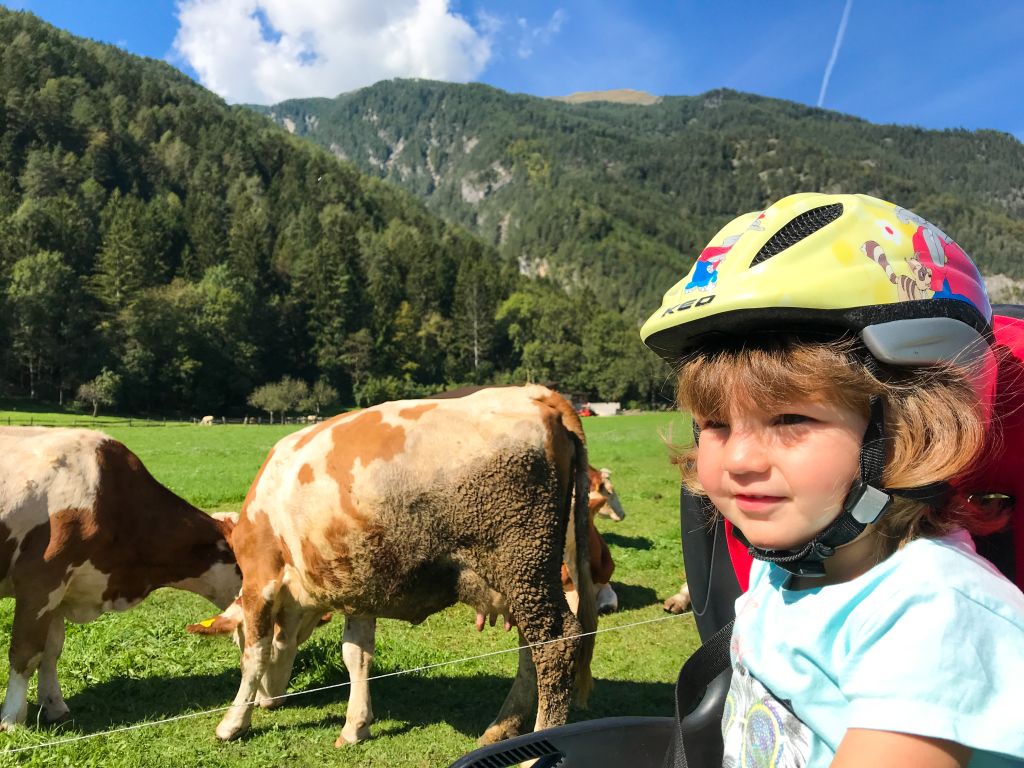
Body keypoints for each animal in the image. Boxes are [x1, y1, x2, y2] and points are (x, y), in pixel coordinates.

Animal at [0, 430, 237, 729]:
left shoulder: (60, 591)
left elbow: (50, 652)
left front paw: (54, 706)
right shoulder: (40, 581)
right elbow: (25, 652)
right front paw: (11, 718)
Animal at [211, 387, 598, 749]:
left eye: (235, 637)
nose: (269, 701)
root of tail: (533, 394)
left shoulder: (260, 579)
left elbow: (255, 656)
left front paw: (233, 722)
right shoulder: (358, 587)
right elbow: (356, 655)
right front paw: (355, 726)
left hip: (521, 561)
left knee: (555, 642)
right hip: (528, 575)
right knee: (530, 649)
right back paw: (502, 727)